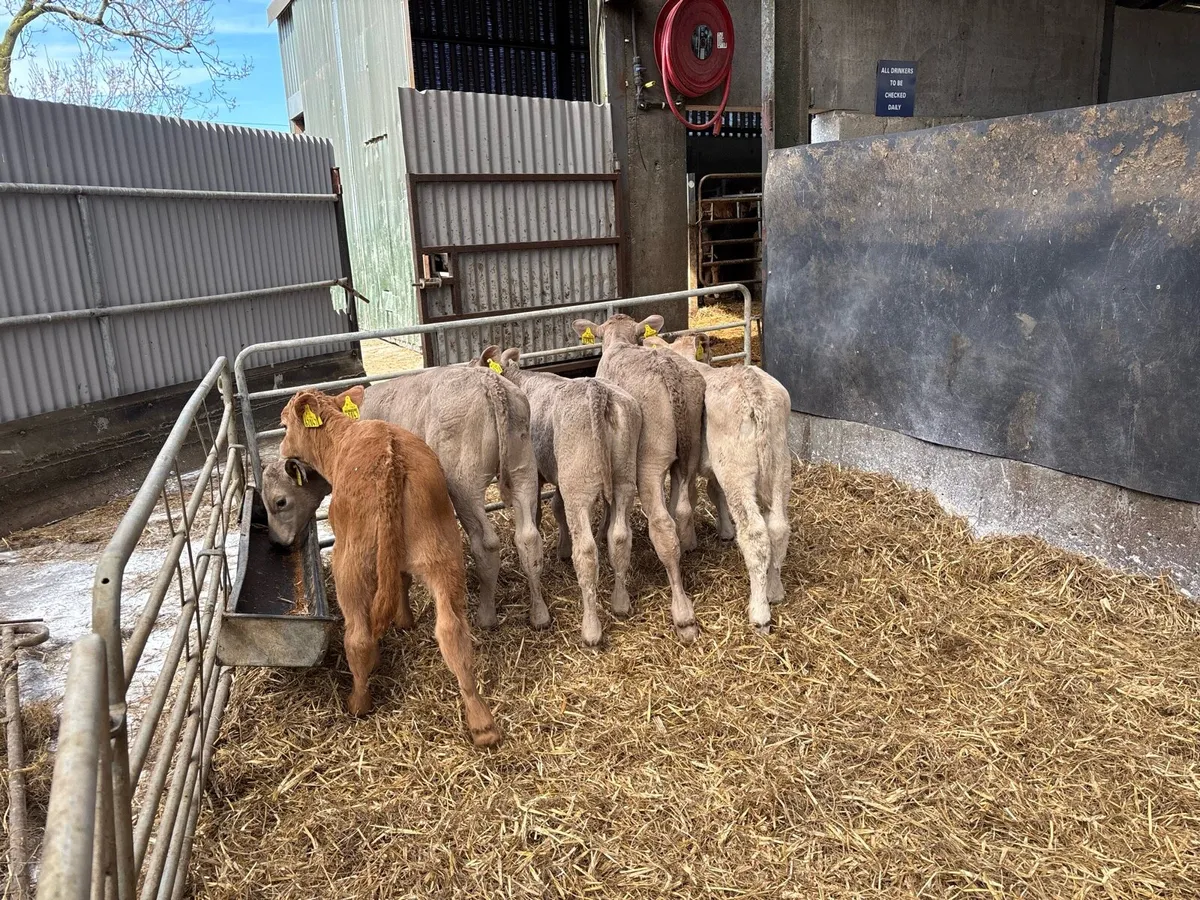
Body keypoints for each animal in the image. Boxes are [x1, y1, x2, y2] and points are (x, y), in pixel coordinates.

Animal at [276, 388, 501, 747]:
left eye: (284, 425)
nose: (282, 451)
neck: (342, 438)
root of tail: (390, 459)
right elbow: (402, 581)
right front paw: (404, 621)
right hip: (443, 554)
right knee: (452, 632)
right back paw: (482, 723)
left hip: (349, 565)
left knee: (358, 636)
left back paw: (358, 702)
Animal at [471, 346, 642, 646]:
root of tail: (597, 391)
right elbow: (557, 507)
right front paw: (561, 547)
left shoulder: (538, 475)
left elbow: (542, 512)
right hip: (623, 478)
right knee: (620, 537)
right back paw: (621, 603)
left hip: (579, 485)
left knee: (586, 551)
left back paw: (591, 629)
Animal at [571, 313, 706, 642]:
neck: (619, 342)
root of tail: (666, 366)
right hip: (691, 448)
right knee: (682, 507)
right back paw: (687, 546)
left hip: (649, 460)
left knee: (662, 525)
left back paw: (683, 615)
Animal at [643, 331, 792, 630]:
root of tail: (752, 387)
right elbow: (714, 493)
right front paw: (725, 530)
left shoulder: (692, 464)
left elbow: (689, 499)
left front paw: (689, 541)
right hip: (780, 465)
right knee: (778, 528)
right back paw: (774, 590)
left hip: (737, 469)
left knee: (756, 534)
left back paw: (760, 611)